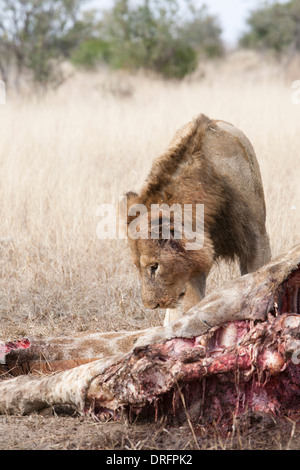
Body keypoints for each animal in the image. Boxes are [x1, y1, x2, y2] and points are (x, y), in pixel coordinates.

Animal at [125, 115, 270, 324]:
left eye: (154, 266)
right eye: (137, 266)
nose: (152, 305)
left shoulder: (256, 239)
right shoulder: (192, 265)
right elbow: (192, 303)